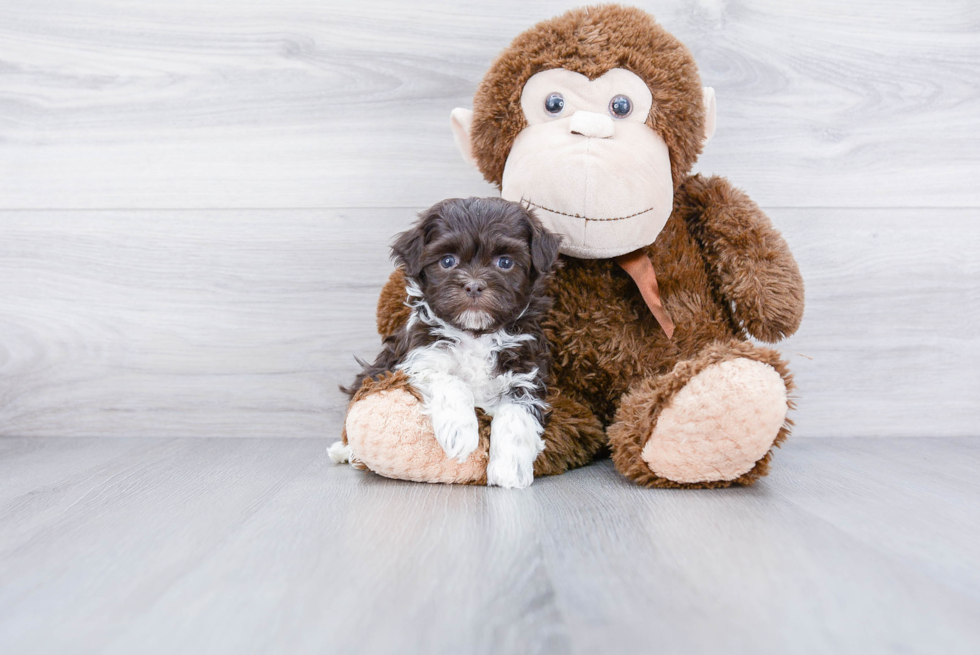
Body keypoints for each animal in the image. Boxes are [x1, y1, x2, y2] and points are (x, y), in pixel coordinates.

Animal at [342, 197, 560, 490]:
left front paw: (509, 468)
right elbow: (452, 381)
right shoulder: (418, 359)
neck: (476, 334)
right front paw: (460, 432)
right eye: (447, 261)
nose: (474, 286)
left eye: (505, 262)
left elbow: (517, 414)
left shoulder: (525, 372)